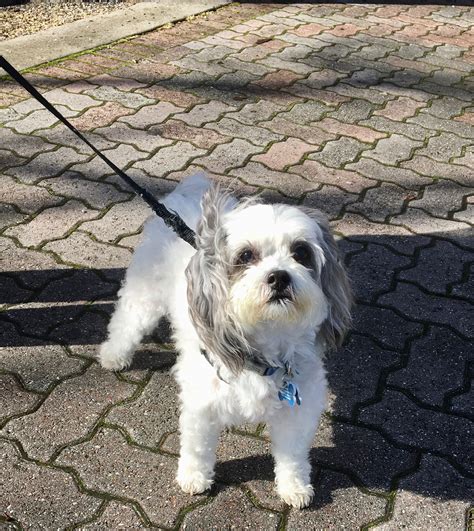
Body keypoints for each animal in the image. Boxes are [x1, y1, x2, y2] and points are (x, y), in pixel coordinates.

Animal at [99, 174, 352, 508]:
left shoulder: (298, 410)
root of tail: (187, 191)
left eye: (301, 252)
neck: (264, 345)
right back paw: (114, 354)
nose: (279, 277)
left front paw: (294, 486)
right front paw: (194, 477)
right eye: (246, 256)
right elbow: (197, 448)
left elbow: (293, 456)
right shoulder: (201, 404)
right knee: (126, 320)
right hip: (145, 292)